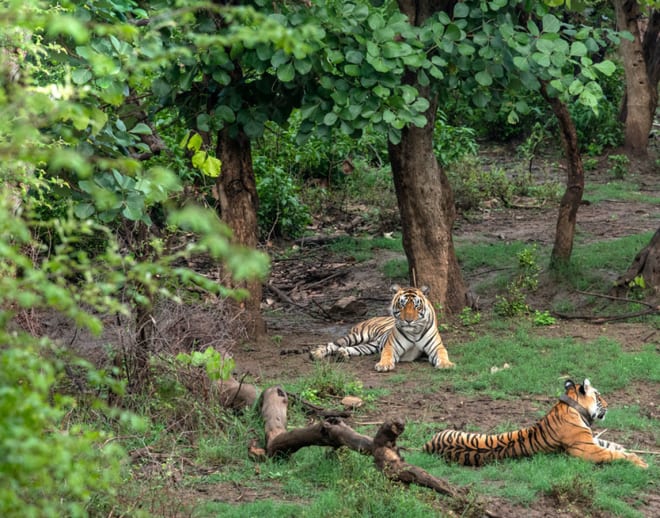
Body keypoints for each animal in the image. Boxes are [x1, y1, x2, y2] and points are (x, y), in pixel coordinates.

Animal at [310, 284, 454, 374]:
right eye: (402, 305)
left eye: (416, 306)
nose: (408, 320)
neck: (414, 331)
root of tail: (370, 318)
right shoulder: (391, 346)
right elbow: (386, 355)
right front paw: (383, 365)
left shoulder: (436, 347)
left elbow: (443, 354)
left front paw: (446, 364)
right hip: (357, 336)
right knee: (333, 344)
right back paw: (316, 353)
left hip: (370, 346)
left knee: (352, 348)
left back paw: (342, 354)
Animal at [426, 378, 648, 472]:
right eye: (599, 396)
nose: (608, 405)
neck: (572, 407)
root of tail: (428, 445)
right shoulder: (587, 449)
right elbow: (613, 454)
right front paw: (640, 462)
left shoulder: (591, 440)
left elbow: (613, 445)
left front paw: (632, 452)